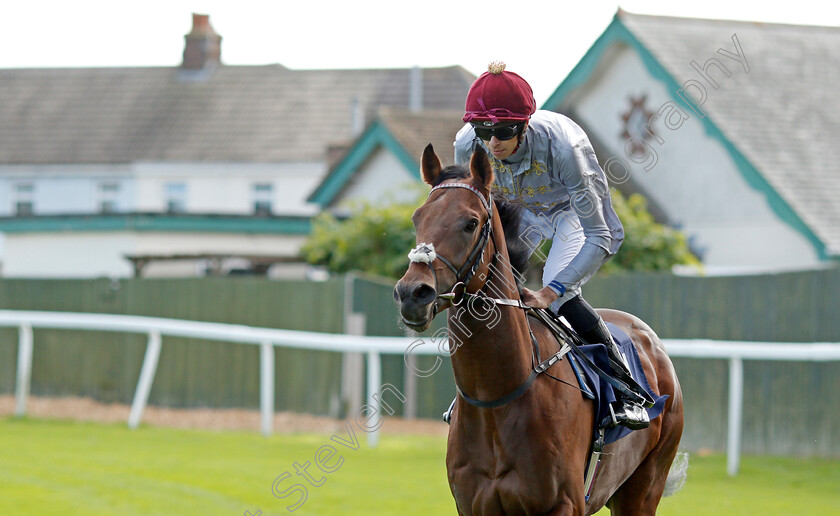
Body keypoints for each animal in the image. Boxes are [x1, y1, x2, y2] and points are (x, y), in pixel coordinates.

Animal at [394, 143, 684, 512]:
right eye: (417, 218)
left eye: (470, 223)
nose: (412, 293)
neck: (497, 398)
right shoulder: (471, 505)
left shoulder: (564, 504)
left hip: (643, 489)